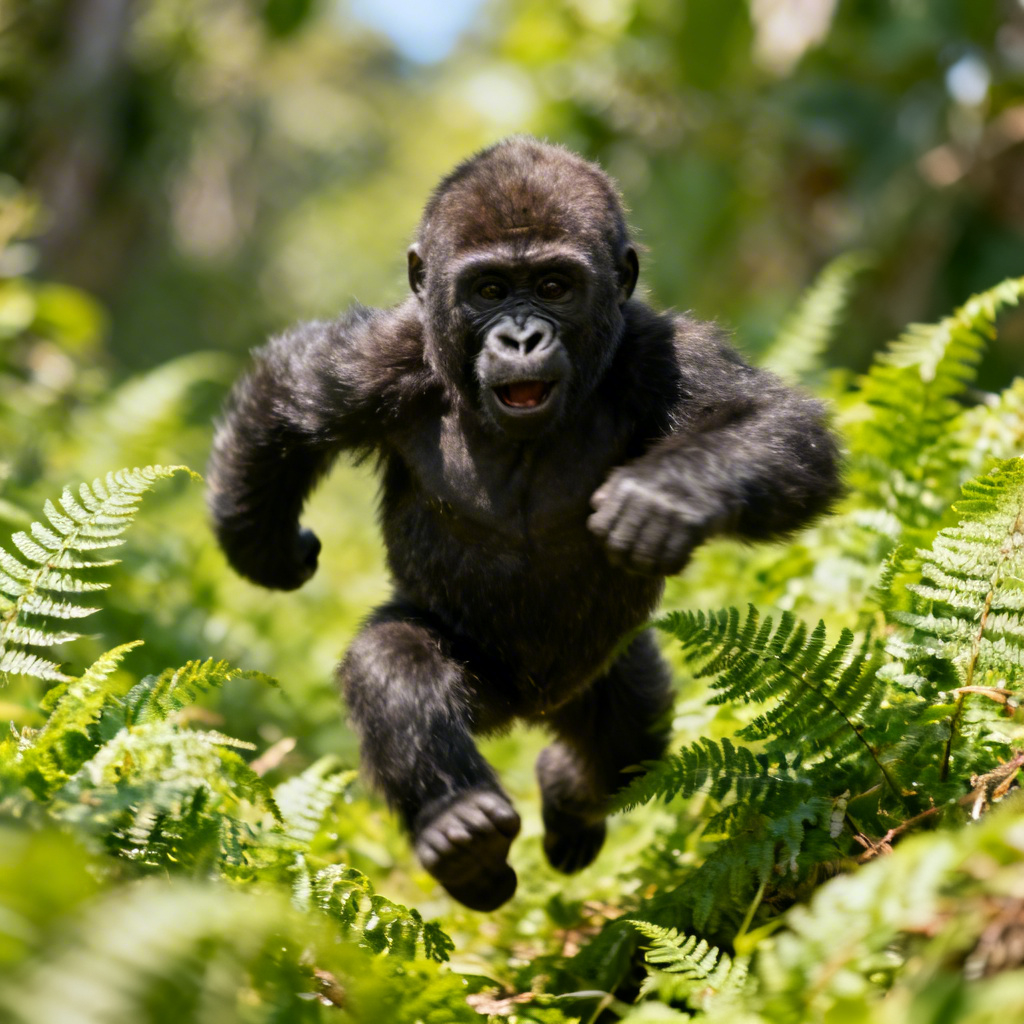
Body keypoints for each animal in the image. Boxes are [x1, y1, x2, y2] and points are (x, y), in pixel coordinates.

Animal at [208, 136, 841, 911]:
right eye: (488, 291)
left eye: (553, 287)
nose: (519, 337)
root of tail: (528, 710)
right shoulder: (381, 357)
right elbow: (288, 403)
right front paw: (261, 546)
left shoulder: (663, 352)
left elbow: (779, 426)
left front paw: (669, 496)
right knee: (398, 661)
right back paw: (460, 832)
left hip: (603, 676)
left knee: (626, 744)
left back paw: (567, 794)